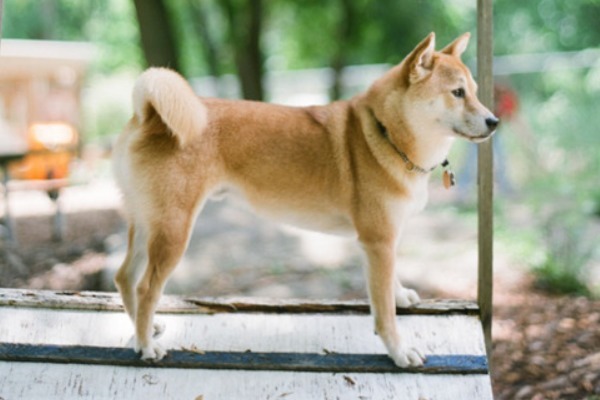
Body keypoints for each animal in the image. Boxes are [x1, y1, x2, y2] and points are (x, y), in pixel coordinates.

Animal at [112, 32, 496, 368]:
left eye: (476, 92)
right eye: (457, 92)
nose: (494, 121)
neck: (386, 135)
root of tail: (149, 116)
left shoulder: (383, 242)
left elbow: (389, 287)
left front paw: (400, 295)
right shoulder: (378, 242)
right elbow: (384, 312)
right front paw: (399, 352)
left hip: (146, 225)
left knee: (124, 278)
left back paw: (142, 331)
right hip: (174, 231)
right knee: (146, 287)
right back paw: (145, 346)